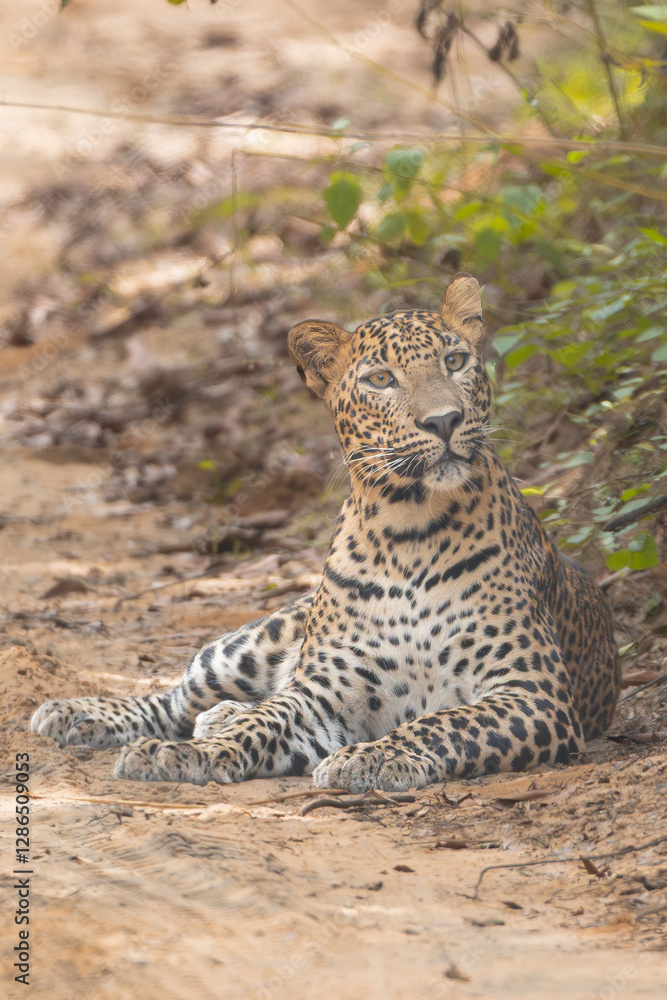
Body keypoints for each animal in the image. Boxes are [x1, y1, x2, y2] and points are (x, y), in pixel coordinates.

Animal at [31, 273, 620, 792]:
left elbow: (442, 721)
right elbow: (266, 719)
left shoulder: (533, 693)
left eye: (455, 362)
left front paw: (377, 757)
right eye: (381, 379)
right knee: (172, 699)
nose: (445, 421)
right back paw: (79, 713)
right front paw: (186, 754)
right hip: (247, 645)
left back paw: (212, 718)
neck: (412, 531)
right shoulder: (321, 695)